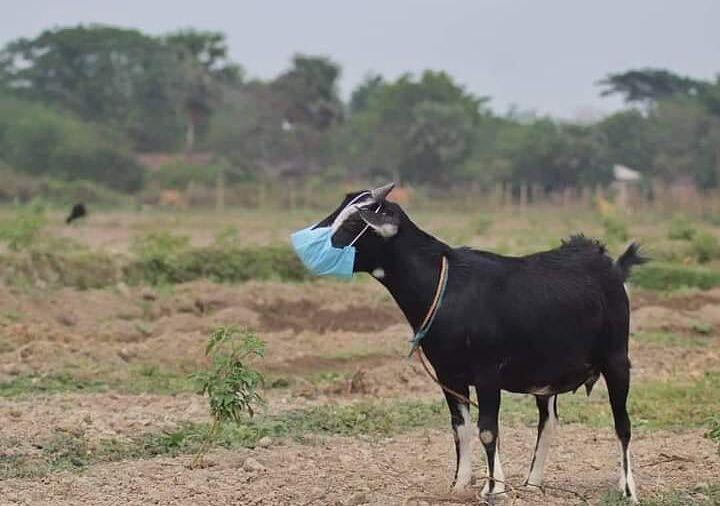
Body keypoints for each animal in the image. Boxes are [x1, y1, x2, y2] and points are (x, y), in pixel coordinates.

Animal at [312, 185, 644, 502]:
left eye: (355, 221)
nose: (315, 245)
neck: (446, 286)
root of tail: (606, 261)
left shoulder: (488, 372)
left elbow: (487, 430)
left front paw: (493, 490)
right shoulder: (449, 374)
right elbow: (460, 428)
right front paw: (460, 485)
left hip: (617, 357)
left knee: (623, 424)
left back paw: (627, 489)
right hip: (548, 374)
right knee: (548, 421)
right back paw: (532, 484)